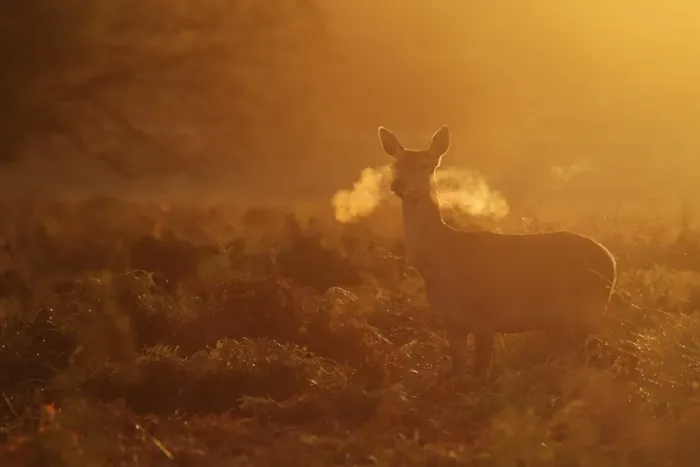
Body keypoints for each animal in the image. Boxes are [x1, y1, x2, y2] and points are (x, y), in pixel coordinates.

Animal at [378, 125, 617, 379]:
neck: (443, 259)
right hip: (559, 323)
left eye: (426, 164)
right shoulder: (452, 322)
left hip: (589, 310)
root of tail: (612, 261)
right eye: (396, 164)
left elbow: (480, 375)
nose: (398, 184)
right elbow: (460, 374)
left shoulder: (487, 317)